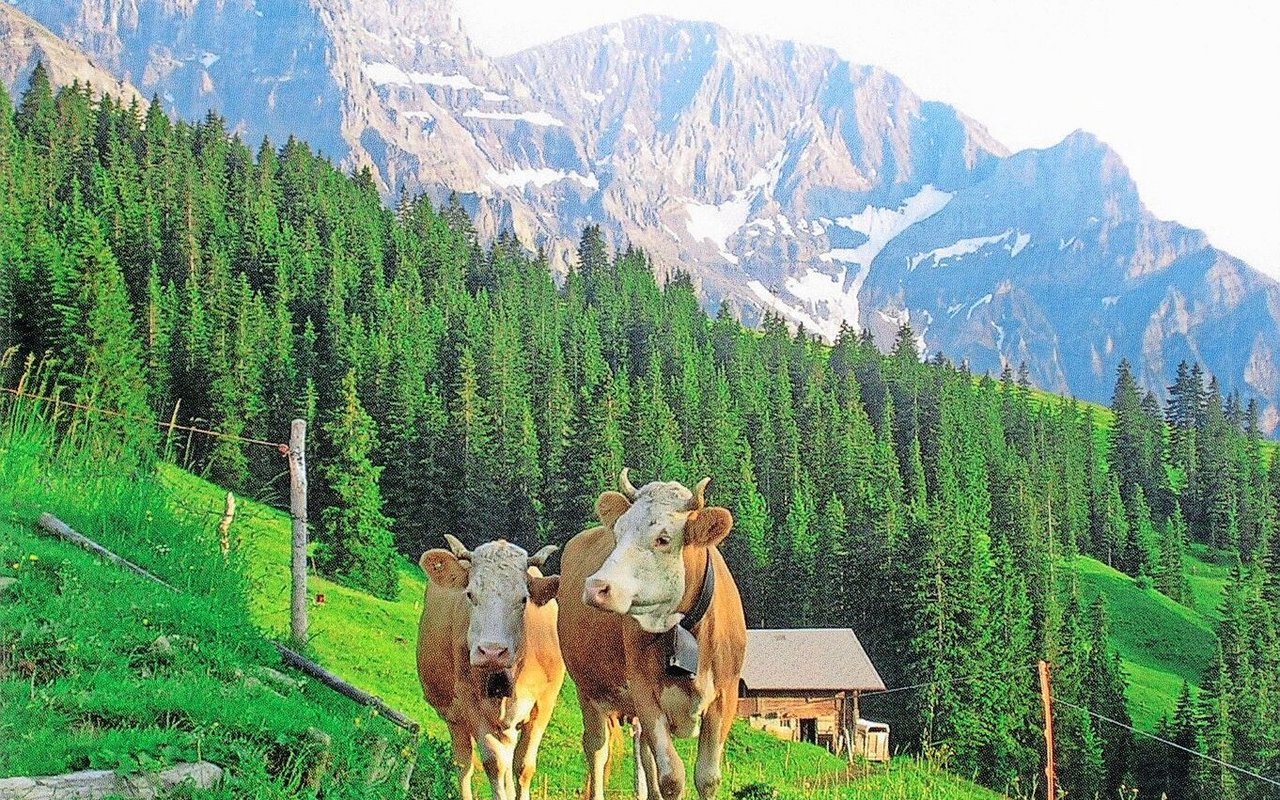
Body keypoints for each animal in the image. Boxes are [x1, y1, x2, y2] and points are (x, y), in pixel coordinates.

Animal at [417, 532, 563, 800]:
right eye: (470, 594)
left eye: (523, 598)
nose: (492, 652)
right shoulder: (470, 703)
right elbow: (494, 764)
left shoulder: (544, 703)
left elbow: (524, 767)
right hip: (453, 716)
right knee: (464, 763)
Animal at [560, 468, 747, 798]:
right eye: (618, 532)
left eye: (663, 538)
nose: (596, 586)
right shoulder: (644, 691)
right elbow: (671, 777)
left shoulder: (725, 695)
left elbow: (707, 778)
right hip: (588, 690)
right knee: (597, 749)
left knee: (645, 757)